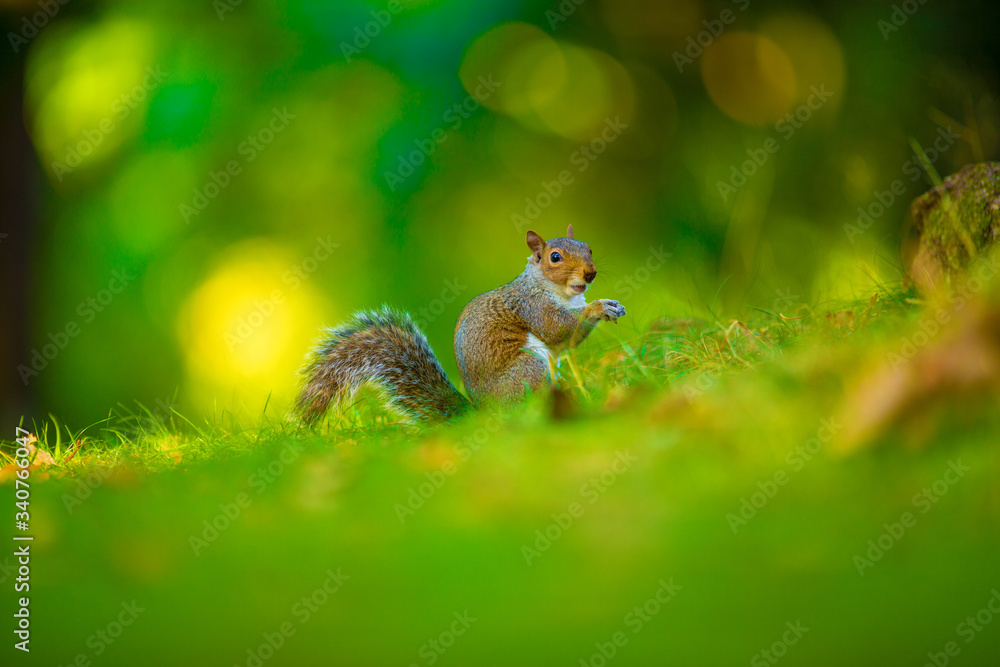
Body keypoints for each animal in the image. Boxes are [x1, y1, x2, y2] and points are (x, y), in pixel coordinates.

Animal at [296, 225, 626, 423]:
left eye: (588, 247)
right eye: (555, 257)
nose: (590, 273)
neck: (563, 293)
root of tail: (484, 412)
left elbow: (568, 340)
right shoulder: (531, 305)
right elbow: (557, 329)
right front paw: (600, 307)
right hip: (529, 367)